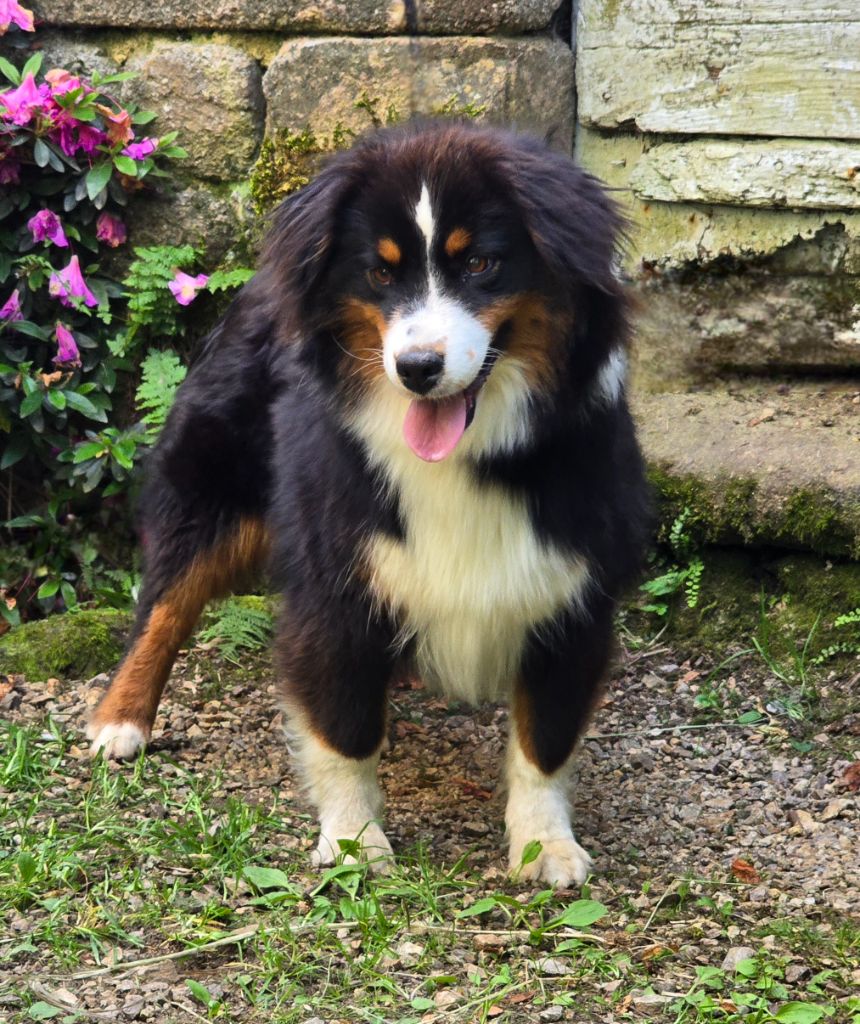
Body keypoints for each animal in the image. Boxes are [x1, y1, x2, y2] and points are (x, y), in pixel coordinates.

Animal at [89, 119, 651, 888]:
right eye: (381, 274)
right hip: (212, 483)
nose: (416, 370)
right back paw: (121, 720)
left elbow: (545, 738)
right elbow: (345, 724)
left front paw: (545, 846)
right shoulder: (337, 573)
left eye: (481, 263)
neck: (463, 460)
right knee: (164, 605)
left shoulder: (571, 590)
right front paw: (355, 840)